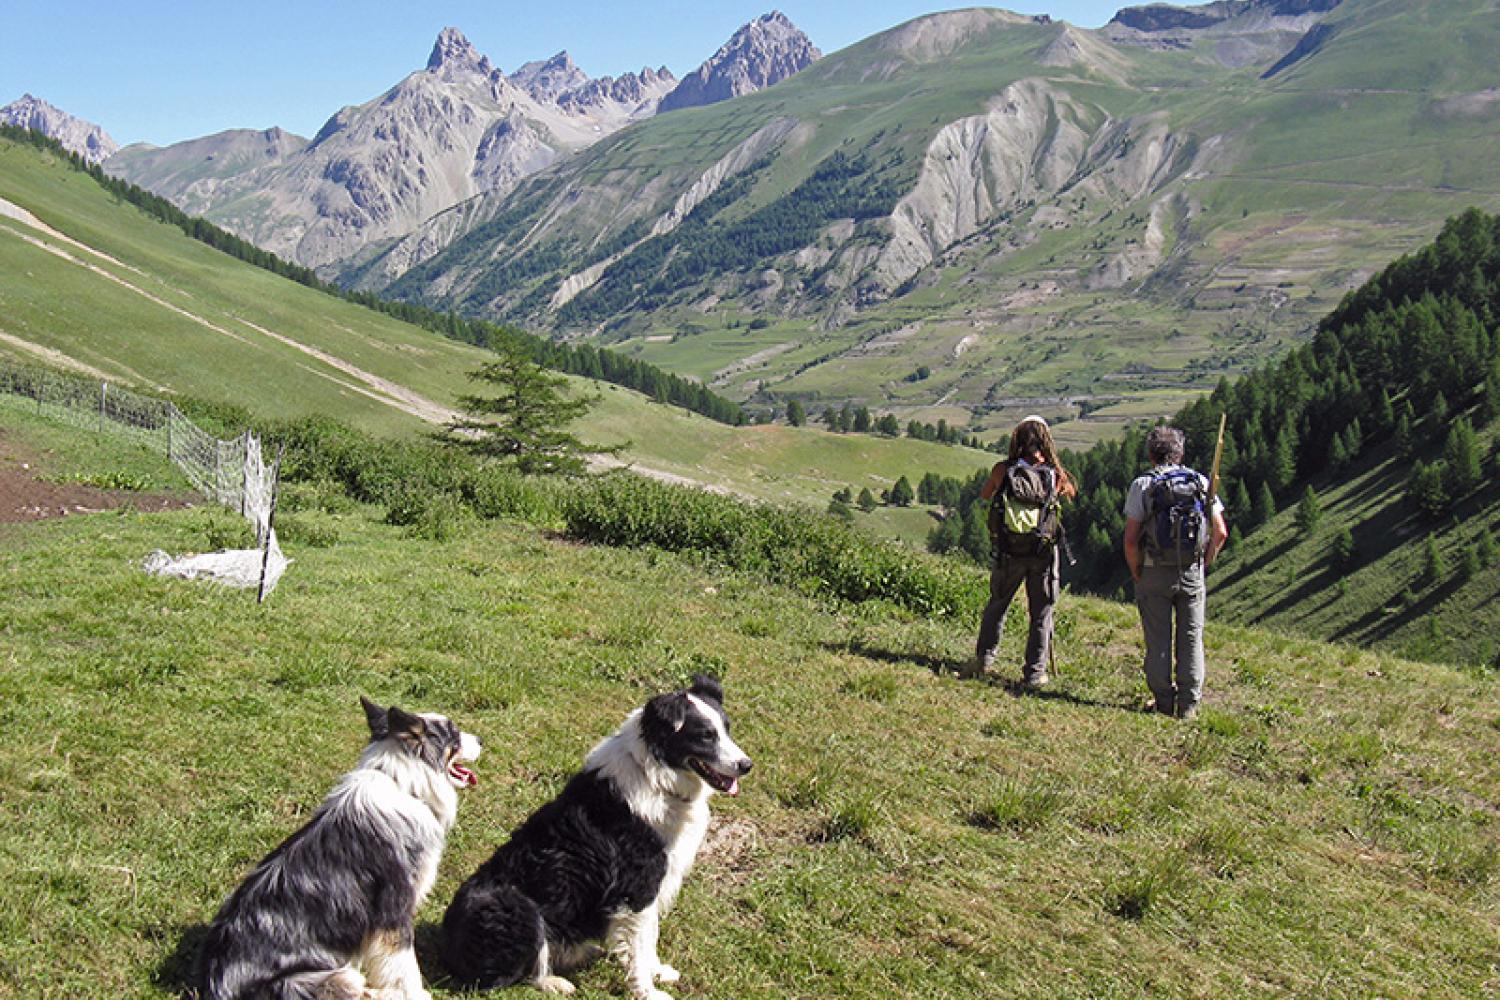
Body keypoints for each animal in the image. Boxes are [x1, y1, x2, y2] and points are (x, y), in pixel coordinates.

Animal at [196, 701, 480, 1000]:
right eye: (454, 733)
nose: (482, 740)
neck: (402, 784)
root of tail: (215, 983)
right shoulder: (393, 909)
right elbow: (403, 966)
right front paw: (415, 994)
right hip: (315, 980)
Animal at [441, 677, 750, 995]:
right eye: (705, 736)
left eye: (726, 729)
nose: (746, 765)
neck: (655, 777)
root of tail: (446, 945)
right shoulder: (636, 887)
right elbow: (639, 945)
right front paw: (646, 991)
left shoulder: (656, 883)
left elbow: (650, 936)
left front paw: (657, 972)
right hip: (516, 906)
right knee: (506, 977)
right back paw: (555, 981)